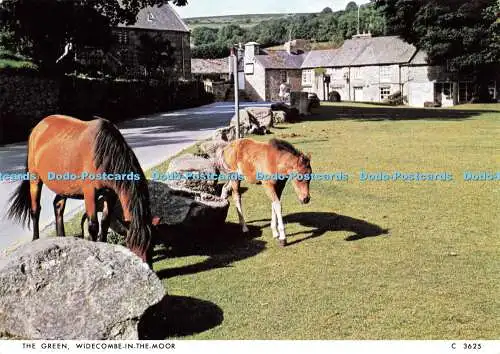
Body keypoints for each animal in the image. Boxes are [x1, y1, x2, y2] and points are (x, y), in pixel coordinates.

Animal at [6, 115, 157, 264]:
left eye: (151, 247)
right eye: (132, 245)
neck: (104, 155)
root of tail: (38, 127)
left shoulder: (111, 195)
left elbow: (105, 222)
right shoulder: (90, 194)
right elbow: (93, 226)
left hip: (63, 186)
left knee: (58, 206)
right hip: (35, 178)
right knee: (35, 210)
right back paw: (35, 239)